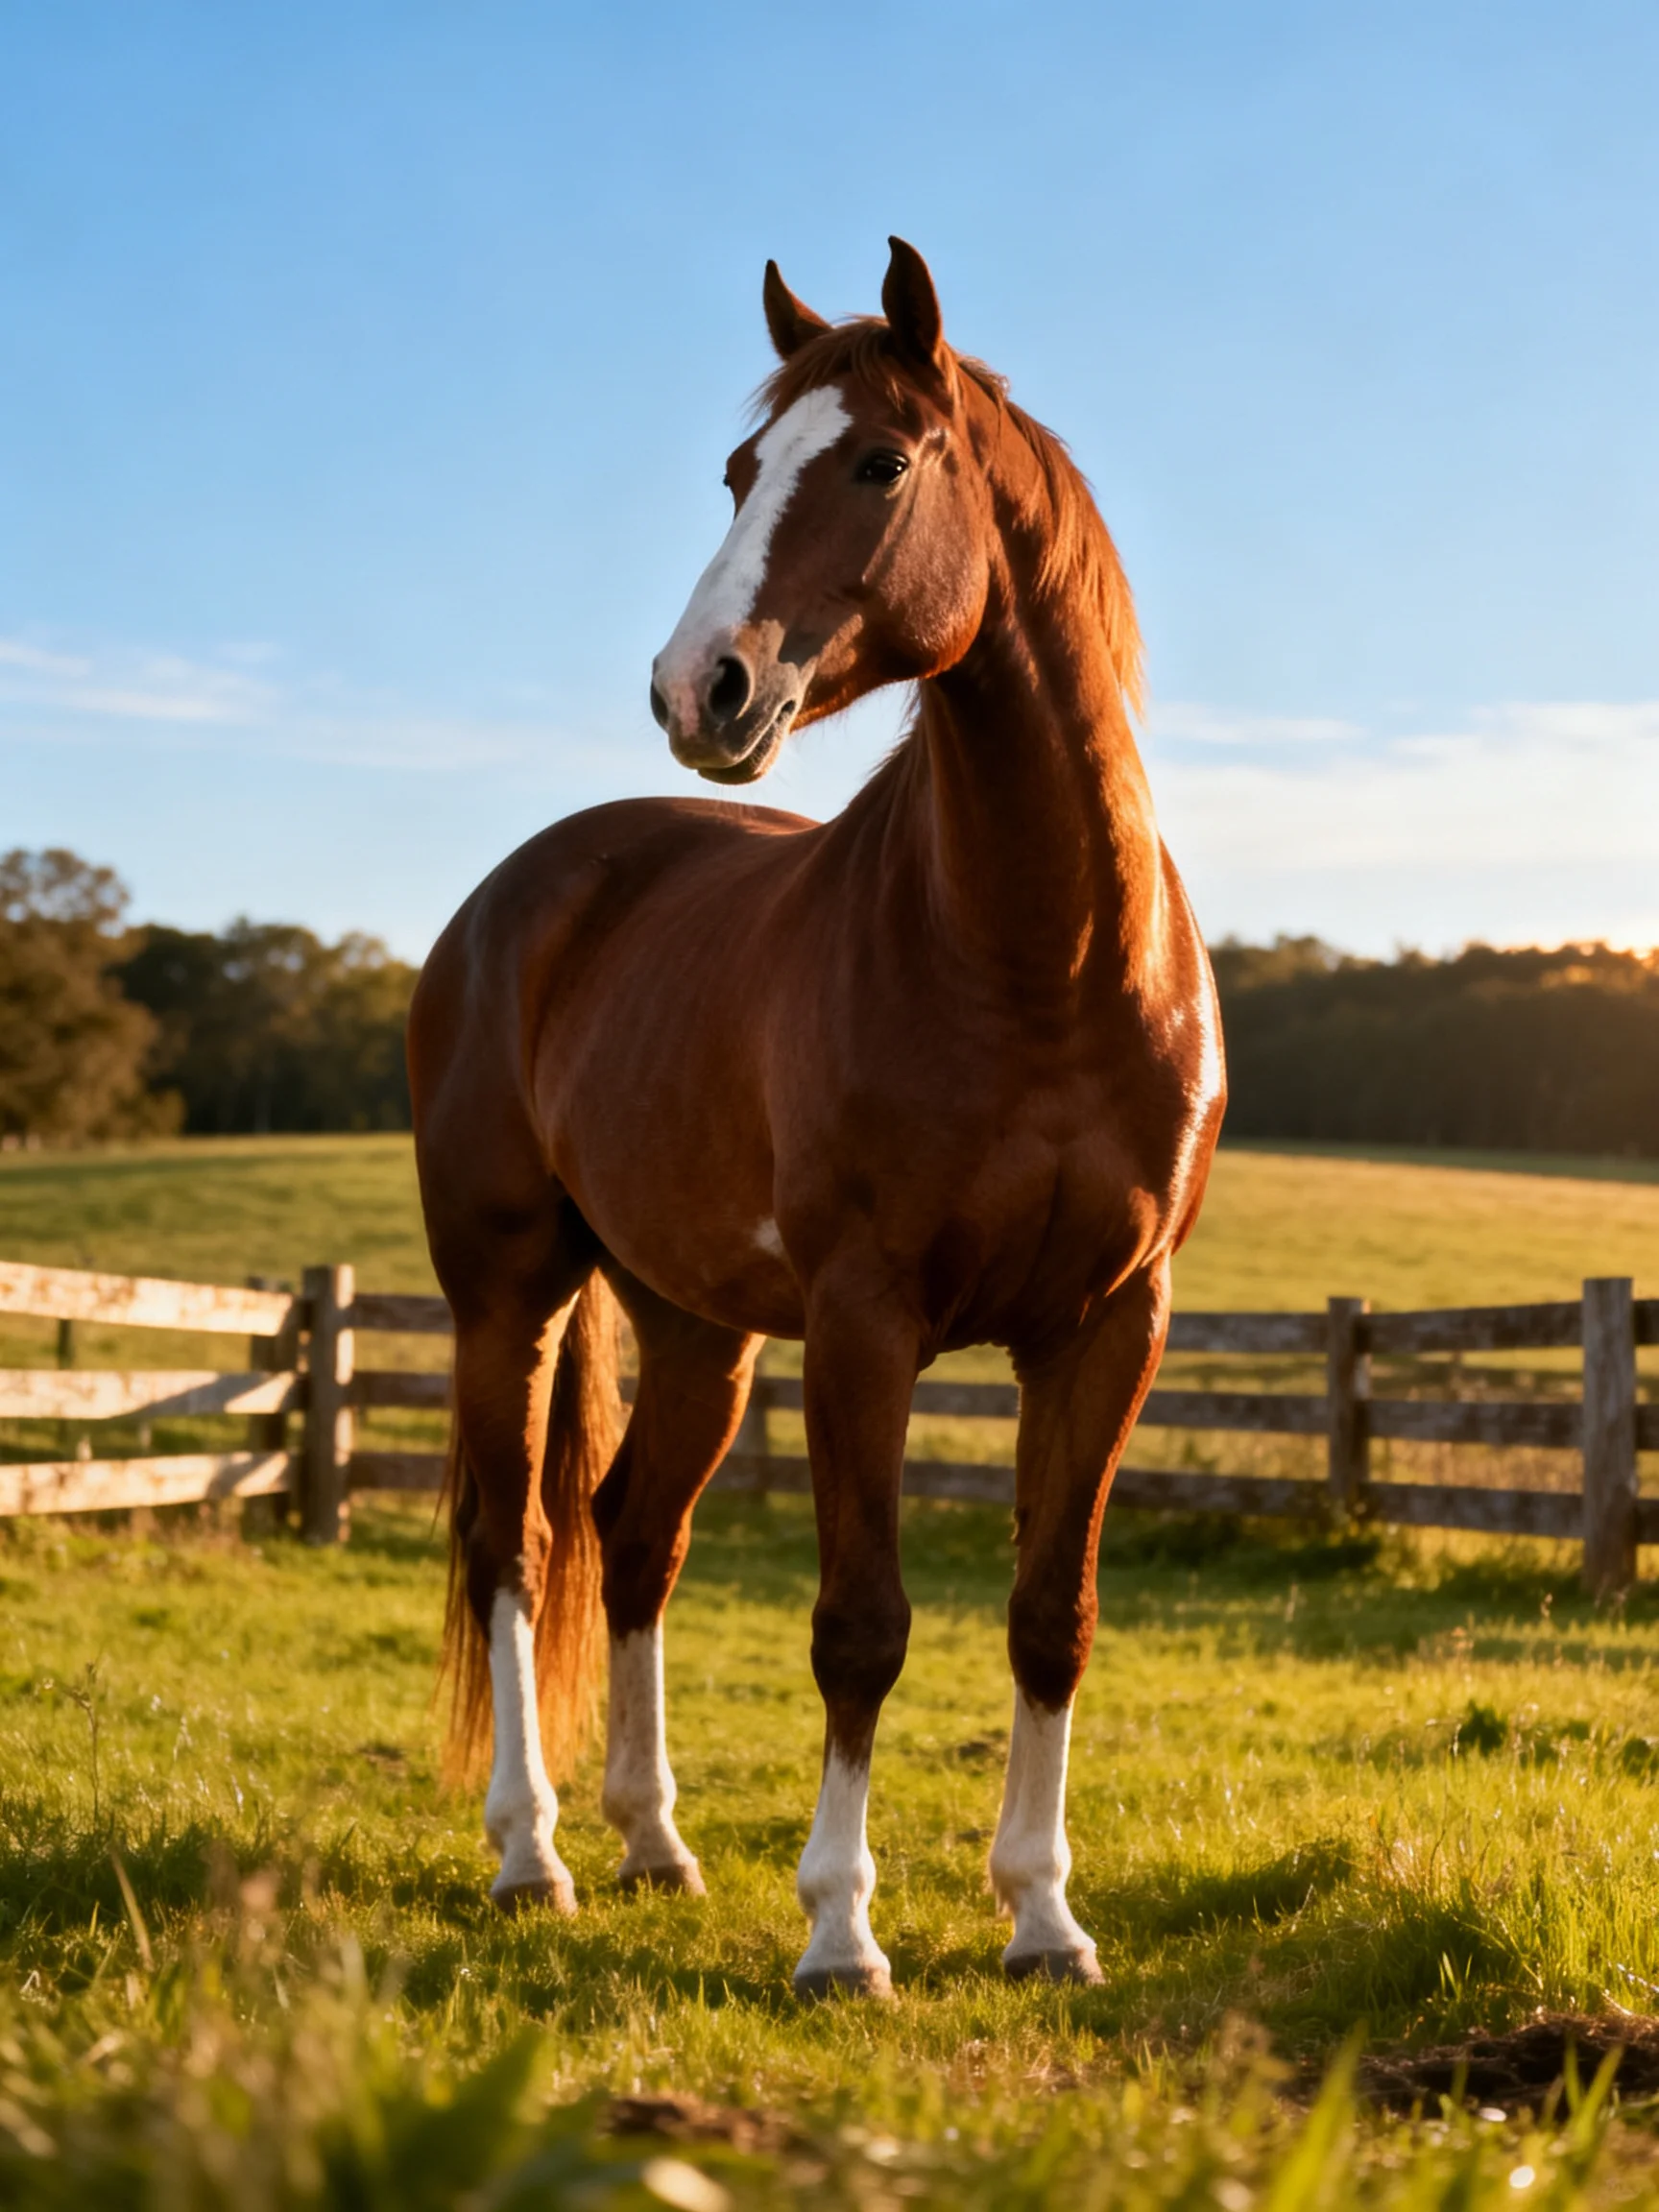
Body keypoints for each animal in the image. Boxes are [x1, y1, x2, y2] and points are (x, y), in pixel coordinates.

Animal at [407, 238, 1225, 1996]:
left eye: (879, 463)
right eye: (737, 470)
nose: (695, 687)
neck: (1042, 953)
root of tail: (520, 894)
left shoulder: (1109, 1323)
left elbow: (1050, 1613)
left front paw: (1043, 1917)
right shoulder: (865, 1322)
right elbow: (862, 1623)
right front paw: (842, 1932)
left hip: (698, 1327)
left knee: (630, 1535)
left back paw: (653, 1841)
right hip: (510, 1292)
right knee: (511, 1544)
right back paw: (531, 1852)